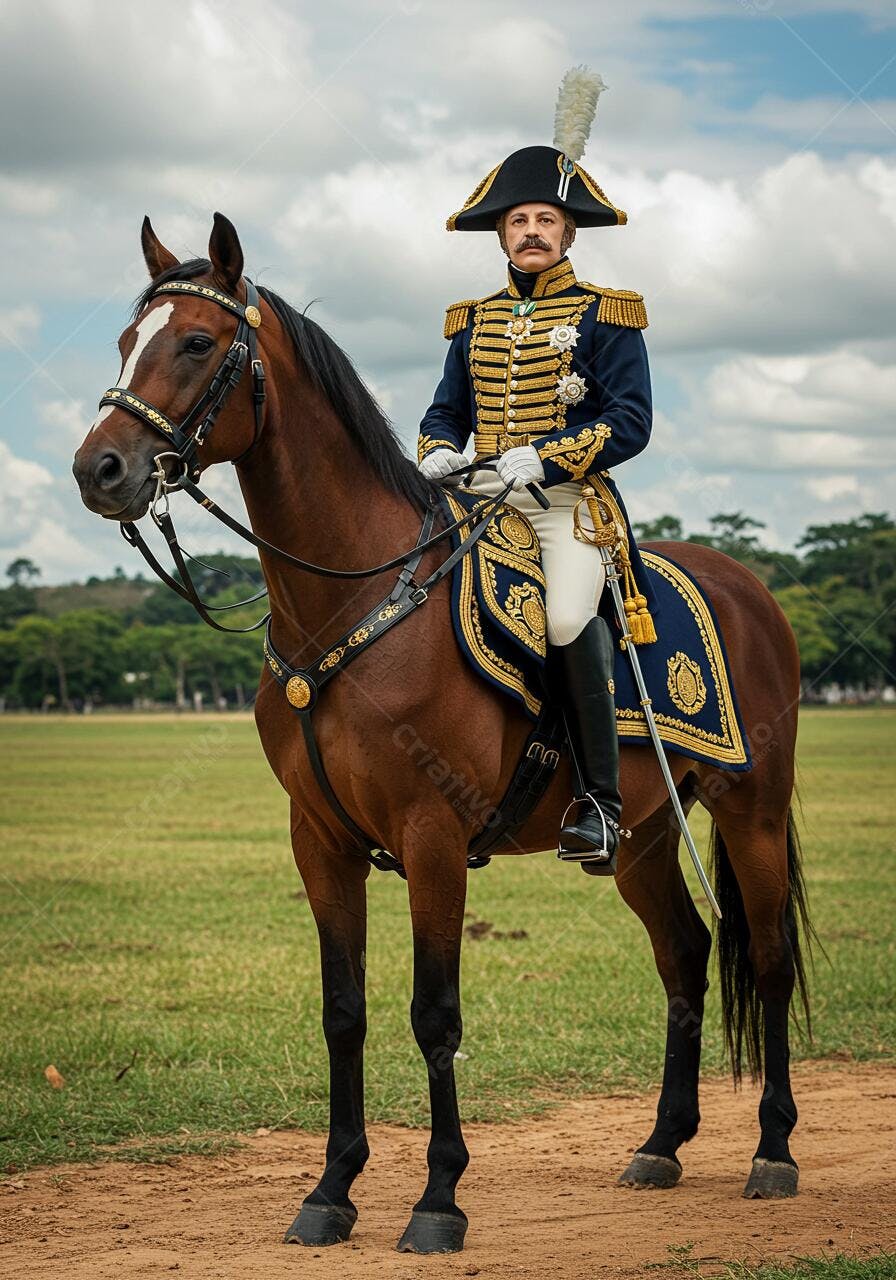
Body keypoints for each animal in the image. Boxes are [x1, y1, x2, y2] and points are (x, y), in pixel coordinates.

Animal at [72, 213, 813, 1255]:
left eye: (198, 342)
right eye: (124, 342)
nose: (98, 470)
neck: (352, 602)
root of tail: (751, 587)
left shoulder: (431, 838)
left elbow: (435, 1013)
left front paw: (437, 1199)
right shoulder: (320, 841)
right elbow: (344, 1012)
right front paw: (332, 1189)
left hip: (751, 809)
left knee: (771, 959)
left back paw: (773, 1151)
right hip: (641, 836)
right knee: (686, 955)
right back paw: (663, 1143)